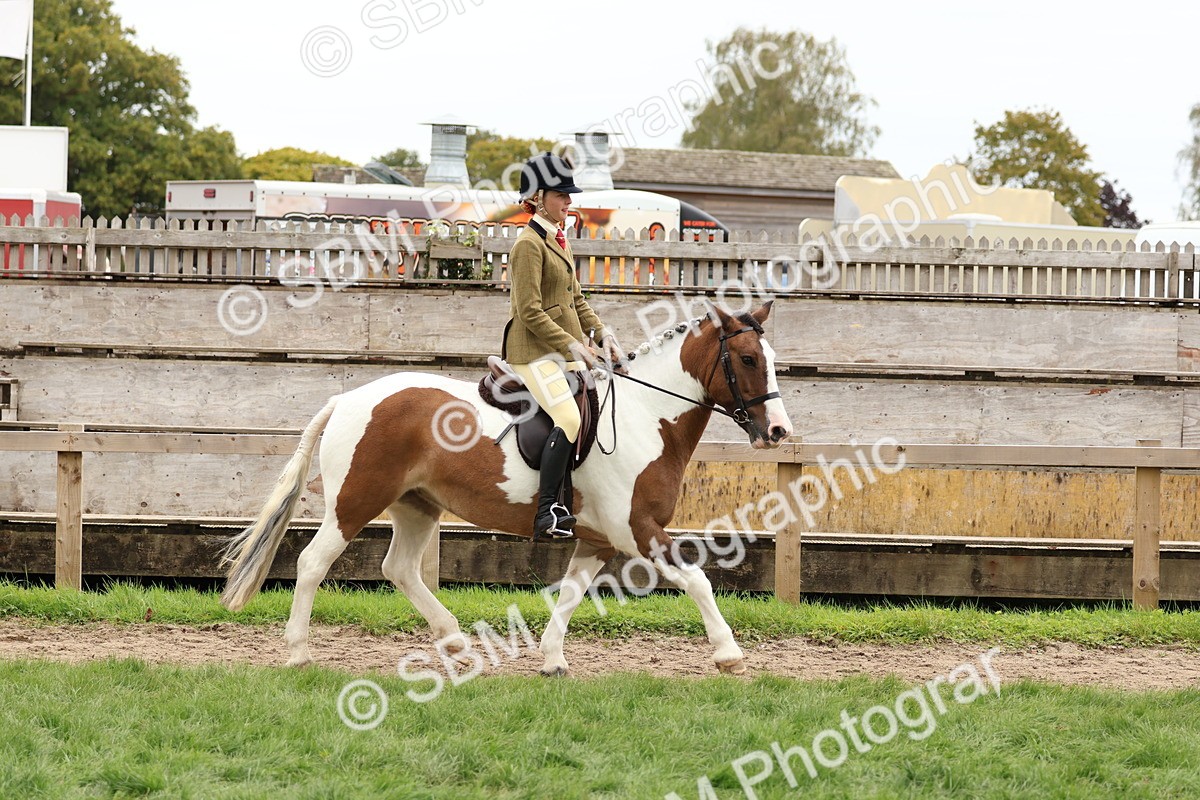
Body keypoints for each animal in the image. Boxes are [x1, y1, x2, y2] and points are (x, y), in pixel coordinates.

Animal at [219, 300, 793, 676]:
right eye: (747, 359)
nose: (778, 432)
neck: (646, 416)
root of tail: (349, 399)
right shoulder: (636, 529)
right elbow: (697, 580)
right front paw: (728, 654)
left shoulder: (598, 538)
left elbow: (571, 593)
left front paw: (553, 660)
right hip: (354, 503)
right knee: (313, 563)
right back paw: (298, 653)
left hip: (417, 506)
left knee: (399, 568)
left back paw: (453, 641)